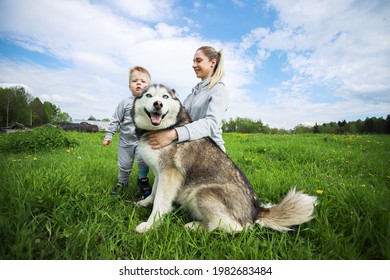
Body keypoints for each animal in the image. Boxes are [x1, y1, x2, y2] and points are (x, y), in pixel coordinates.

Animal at [131, 84, 316, 233]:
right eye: (149, 95)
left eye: (165, 97)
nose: (158, 104)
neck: (163, 129)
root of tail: (255, 211)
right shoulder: (159, 172)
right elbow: (154, 192)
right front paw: (145, 202)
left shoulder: (170, 174)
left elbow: (160, 203)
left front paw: (150, 225)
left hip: (201, 192)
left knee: (234, 227)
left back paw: (196, 226)